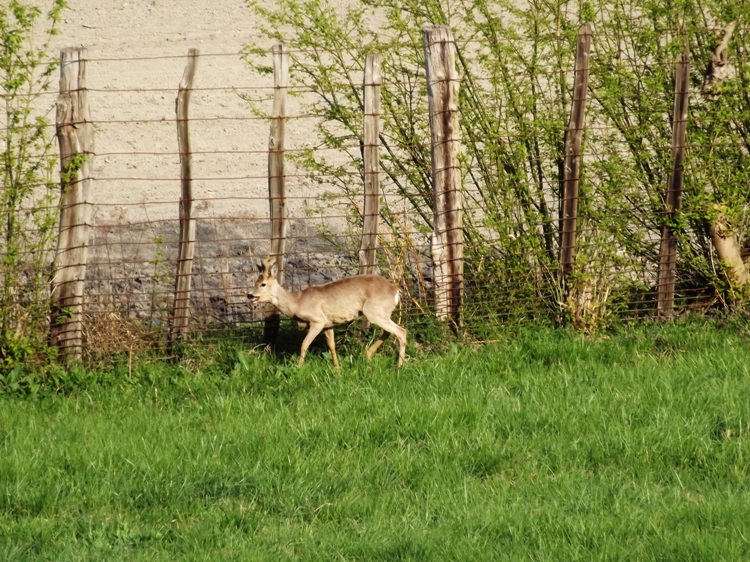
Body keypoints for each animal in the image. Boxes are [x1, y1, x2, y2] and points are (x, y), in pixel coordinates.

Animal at [250, 255, 408, 368]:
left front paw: (298, 368)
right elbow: (331, 346)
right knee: (390, 331)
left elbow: (304, 344)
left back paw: (399, 367)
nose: (250, 295)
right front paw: (337, 368)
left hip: (374, 311)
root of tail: (395, 292)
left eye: (263, 284)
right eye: (255, 282)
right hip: (381, 313)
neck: (297, 302)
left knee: (401, 331)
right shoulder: (328, 323)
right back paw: (368, 355)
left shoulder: (317, 320)